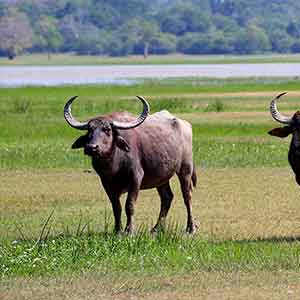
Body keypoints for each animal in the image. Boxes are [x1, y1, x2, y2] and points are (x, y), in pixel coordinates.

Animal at [63, 96, 197, 234]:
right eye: (90, 130)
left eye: (107, 130)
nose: (91, 147)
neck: (113, 165)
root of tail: (186, 125)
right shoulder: (106, 183)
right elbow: (116, 207)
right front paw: (117, 229)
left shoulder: (136, 178)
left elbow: (129, 205)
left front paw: (129, 230)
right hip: (162, 177)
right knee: (167, 197)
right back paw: (156, 228)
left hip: (185, 169)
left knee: (187, 196)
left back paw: (190, 227)